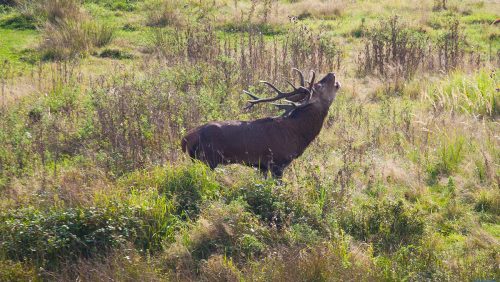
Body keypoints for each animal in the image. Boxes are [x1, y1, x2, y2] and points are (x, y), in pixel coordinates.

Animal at [182, 69, 342, 177]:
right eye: (319, 85)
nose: (332, 73)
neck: (298, 135)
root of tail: (185, 139)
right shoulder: (277, 163)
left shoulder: (262, 166)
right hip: (207, 159)